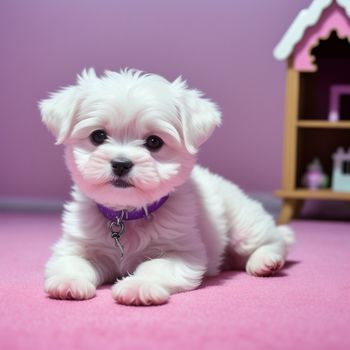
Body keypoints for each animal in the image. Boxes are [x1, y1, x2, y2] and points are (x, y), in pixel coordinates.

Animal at [39, 67, 294, 304]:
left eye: (154, 141)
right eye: (98, 136)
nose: (121, 164)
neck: (126, 215)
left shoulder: (182, 253)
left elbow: (154, 267)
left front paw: (138, 285)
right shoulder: (76, 244)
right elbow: (73, 262)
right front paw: (69, 281)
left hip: (244, 227)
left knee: (276, 240)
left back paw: (266, 261)